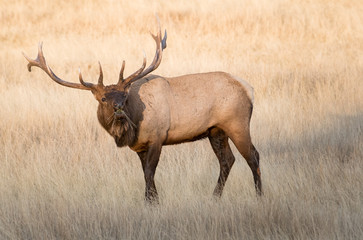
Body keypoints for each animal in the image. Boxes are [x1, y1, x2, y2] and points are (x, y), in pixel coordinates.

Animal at [22, 19, 262, 202]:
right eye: (103, 98)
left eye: (125, 96)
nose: (118, 108)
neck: (135, 125)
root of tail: (249, 89)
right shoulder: (139, 147)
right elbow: (145, 173)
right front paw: (152, 201)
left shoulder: (157, 136)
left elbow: (149, 173)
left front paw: (151, 202)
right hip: (215, 130)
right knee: (227, 160)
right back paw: (215, 197)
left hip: (237, 122)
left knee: (253, 156)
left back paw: (259, 196)